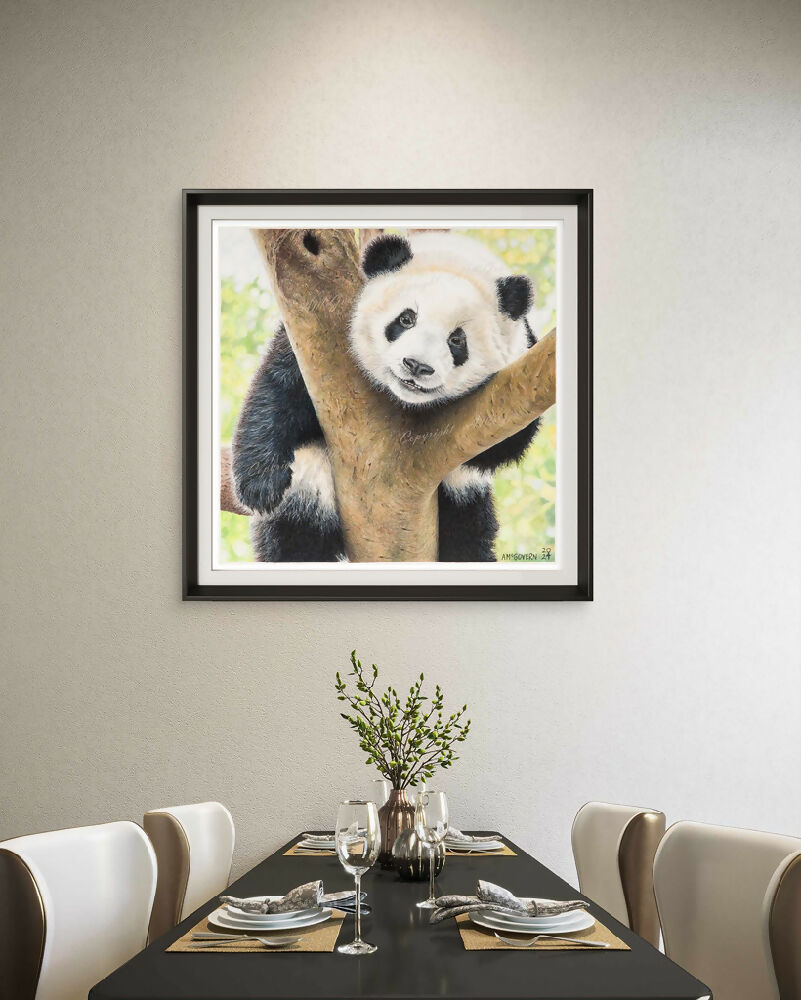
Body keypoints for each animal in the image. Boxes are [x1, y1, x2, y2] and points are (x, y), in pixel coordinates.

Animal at [232, 231, 540, 562]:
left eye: (457, 340)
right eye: (406, 319)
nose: (416, 365)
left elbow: (506, 442)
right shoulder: (315, 350)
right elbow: (277, 390)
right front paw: (260, 485)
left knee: (469, 530)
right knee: (297, 528)